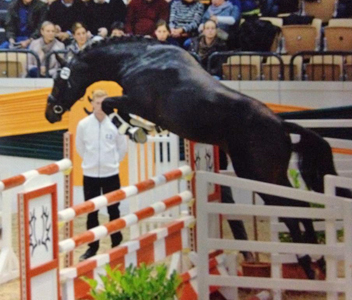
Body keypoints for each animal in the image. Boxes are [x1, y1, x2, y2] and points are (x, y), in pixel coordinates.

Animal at [46, 35, 350, 278]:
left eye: (57, 81)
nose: (50, 113)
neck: (139, 59)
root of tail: (282, 124)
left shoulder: (136, 101)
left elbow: (112, 106)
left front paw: (137, 130)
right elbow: (116, 109)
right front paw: (142, 129)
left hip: (257, 173)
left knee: (289, 211)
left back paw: (308, 264)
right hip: (274, 174)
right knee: (301, 208)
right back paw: (319, 262)